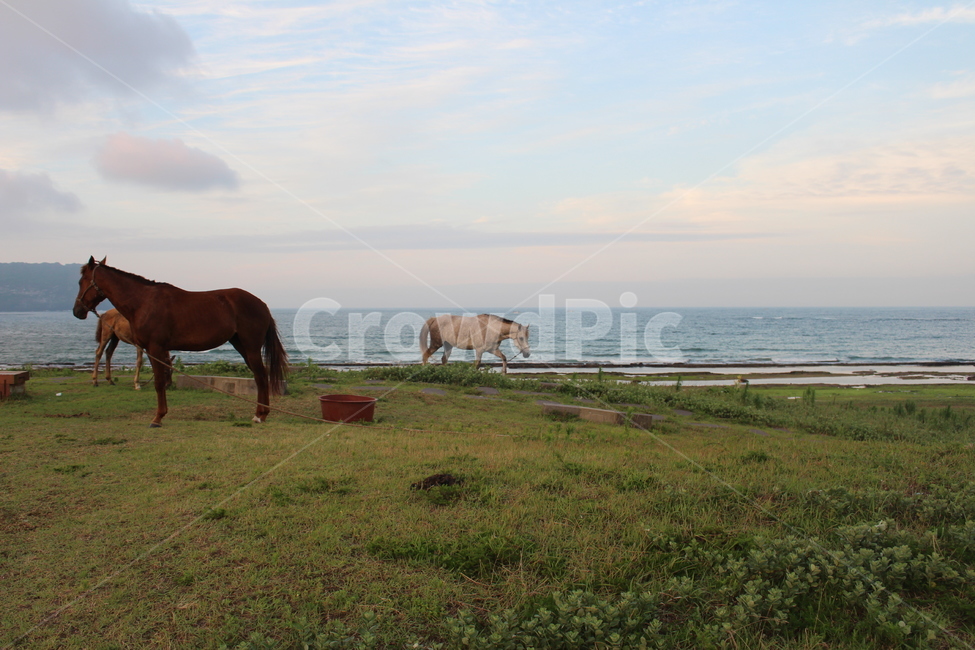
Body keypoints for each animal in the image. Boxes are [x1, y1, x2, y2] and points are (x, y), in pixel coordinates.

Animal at [73, 257, 288, 427]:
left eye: (81, 281)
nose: (77, 311)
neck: (144, 302)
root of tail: (262, 304)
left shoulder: (155, 348)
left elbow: (159, 382)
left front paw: (158, 418)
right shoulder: (155, 350)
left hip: (250, 346)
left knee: (261, 376)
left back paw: (260, 415)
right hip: (241, 345)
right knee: (259, 376)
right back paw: (260, 414)